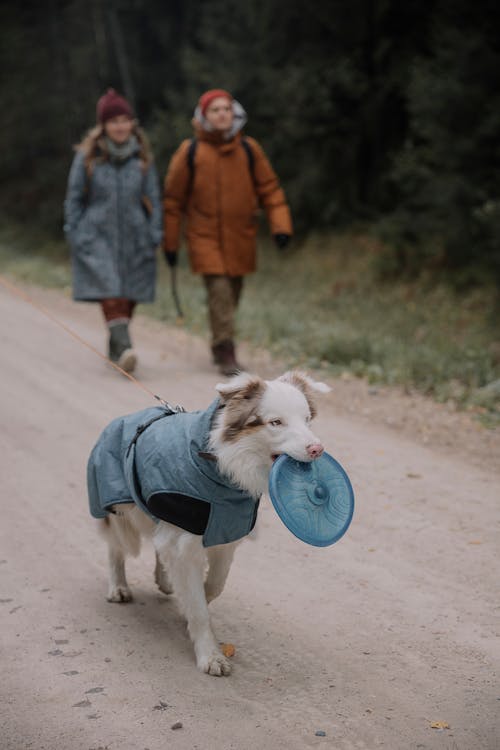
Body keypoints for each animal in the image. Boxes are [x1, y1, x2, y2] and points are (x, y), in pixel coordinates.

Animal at [89, 374, 332, 680]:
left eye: (307, 419)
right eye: (276, 422)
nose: (317, 449)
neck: (223, 465)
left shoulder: (223, 535)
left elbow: (214, 585)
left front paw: (190, 607)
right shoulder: (186, 535)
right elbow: (199, 605)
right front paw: (210, 655)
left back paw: (164, 579)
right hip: (120, 508)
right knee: (117, 546)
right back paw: (118, 586)